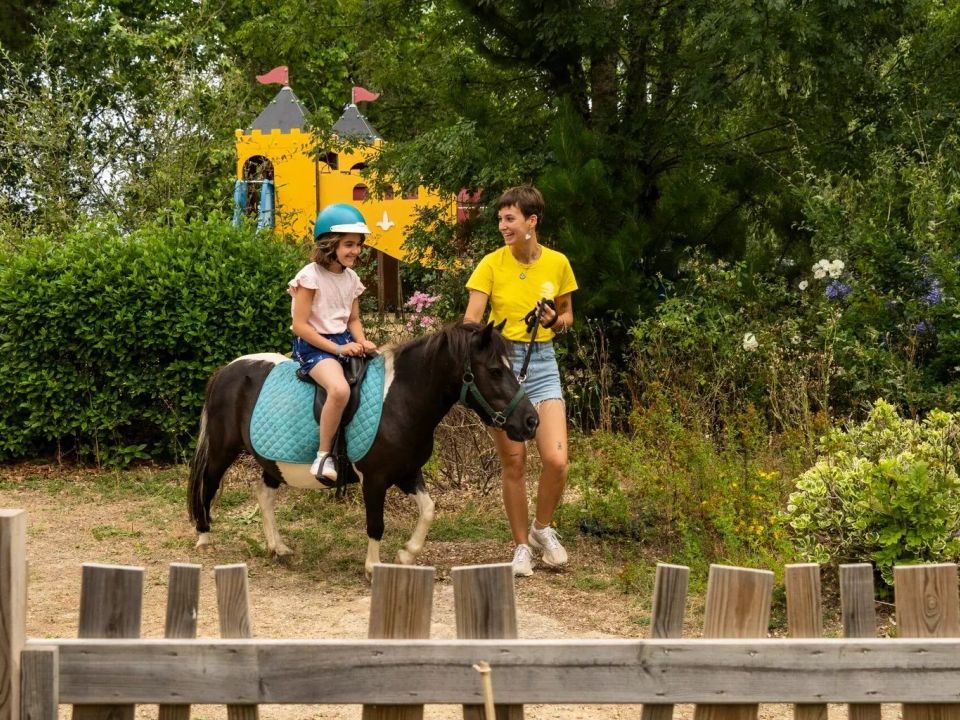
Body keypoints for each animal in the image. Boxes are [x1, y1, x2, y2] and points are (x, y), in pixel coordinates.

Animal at [184, 320, 536, 572]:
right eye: (495, 370)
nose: (531, 421)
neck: (401, 399)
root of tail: (226, 370)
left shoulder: (408, 473)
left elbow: (428, 511)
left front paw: (406, 554)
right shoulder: (375, 479)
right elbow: (376, 524)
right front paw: (373, 567)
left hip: (272, 462)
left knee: (264, 493)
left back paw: (277, 547)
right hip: (222, 451)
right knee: (208, 485)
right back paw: (203, 536)